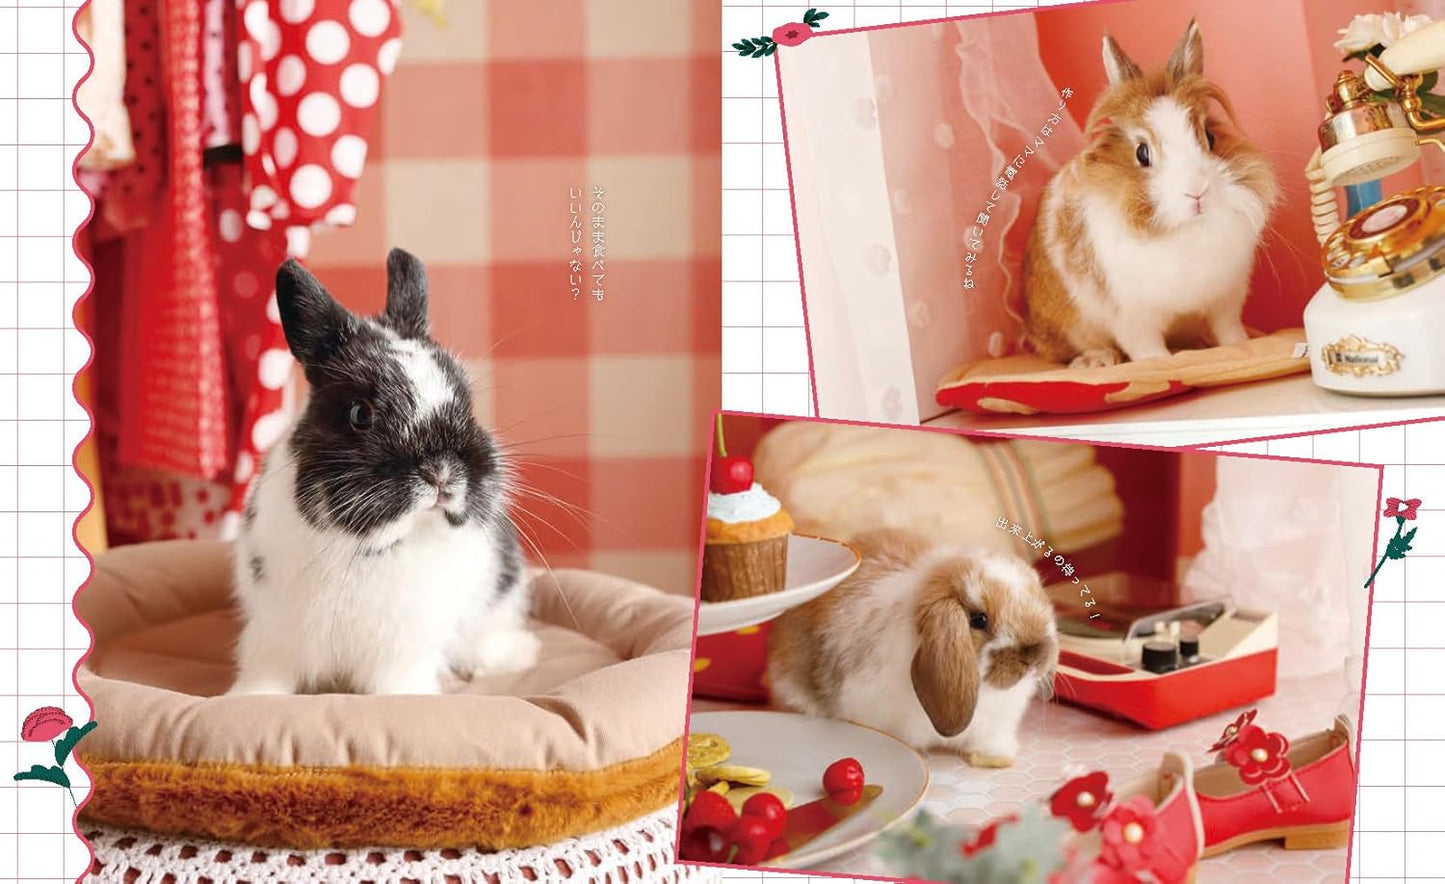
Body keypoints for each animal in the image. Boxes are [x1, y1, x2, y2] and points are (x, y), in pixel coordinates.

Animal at [227, 248, 540, 696]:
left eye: (465, 399)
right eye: (360, 414)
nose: (441, 473)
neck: (371, 545)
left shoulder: (403, 648)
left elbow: (397, 682)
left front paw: (409, 698)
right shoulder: (275, 633)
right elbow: (266, 674)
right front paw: (250, 699)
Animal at [1021, 19, 1278, 369]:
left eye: (1210, 137)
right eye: (1142, 153)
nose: (1197, 191)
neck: (1188, 230)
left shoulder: (1226, 297)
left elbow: (1228, 329)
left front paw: (1241, 344)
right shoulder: (1130, 315)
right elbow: (1144, 346)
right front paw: (1159, 361)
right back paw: (1098, 360)